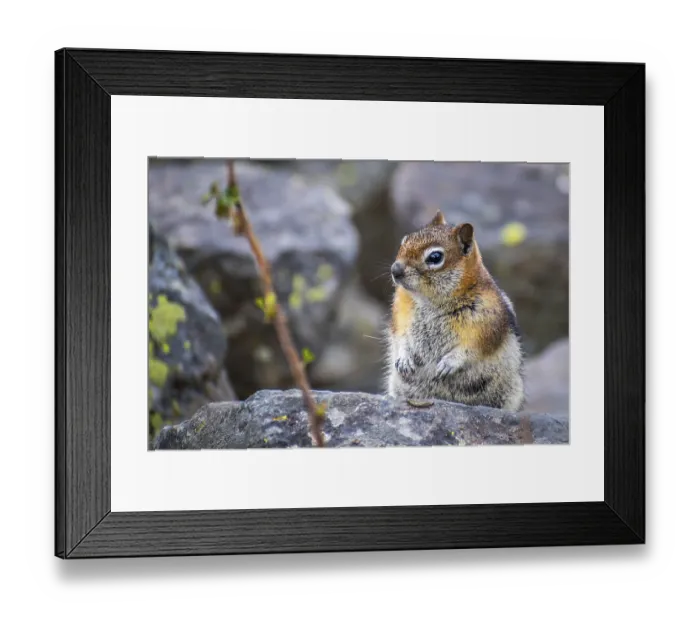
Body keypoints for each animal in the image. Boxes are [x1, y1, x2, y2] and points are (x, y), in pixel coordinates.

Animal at [386, 210, 525, 411]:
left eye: (435, 257)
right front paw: (404, 359)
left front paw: (449, 363)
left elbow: (475, 346)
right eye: (405, 240)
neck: (430, 301)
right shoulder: (400, 312)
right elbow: (400, 336)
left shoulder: (488, 319)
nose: (395, 270)